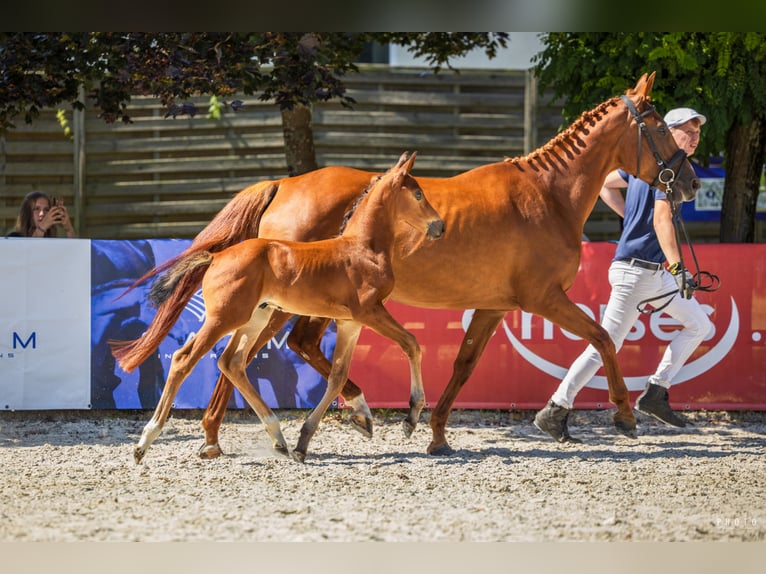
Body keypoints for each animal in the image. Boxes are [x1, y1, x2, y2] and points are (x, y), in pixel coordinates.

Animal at [112, 152, 445, 463]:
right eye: (418, 194)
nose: (439, 226)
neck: (361, 247)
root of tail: (216, 257)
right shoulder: (370, 312)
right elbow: (412, 344)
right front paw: (411, 417)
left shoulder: (350, 322)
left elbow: (338, 376)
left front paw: (306, 441)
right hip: (226, 318)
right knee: (185, 359)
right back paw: (145, 442)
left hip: (256, 317)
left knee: (232, 362)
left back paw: (277, 437)